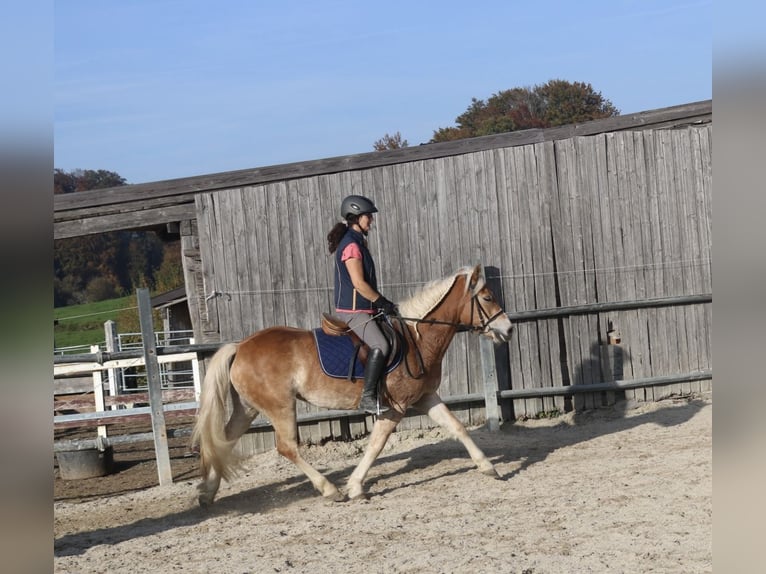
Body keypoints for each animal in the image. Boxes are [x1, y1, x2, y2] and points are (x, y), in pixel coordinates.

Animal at [192, 266, 516, 508]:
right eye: (487, 297)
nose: (509, 329)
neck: (416, 338)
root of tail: (241, 346)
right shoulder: (395, 407)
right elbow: (375, 445)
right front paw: (355, 487)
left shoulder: (425, 397)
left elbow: (457, 426)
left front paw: (488, 467)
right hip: (280, 406)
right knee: (286, 447)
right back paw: (329, 489)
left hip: (248, 408)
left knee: (224, 439)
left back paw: (206, 493)